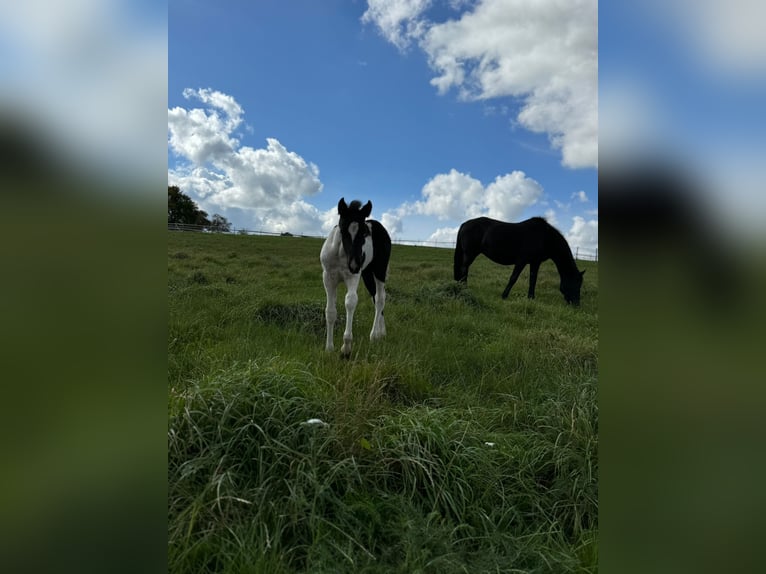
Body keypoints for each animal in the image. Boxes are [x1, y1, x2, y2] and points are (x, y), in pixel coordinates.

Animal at [320, 200, 392, 358]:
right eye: (342, 229)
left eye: (364, 232)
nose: (354, 264)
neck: (341, 254)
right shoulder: (328, 278)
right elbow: (330, 312)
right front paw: (329, 348)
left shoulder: (353, 277)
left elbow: (350, 302)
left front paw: (346, 348)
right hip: (366, 273)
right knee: (376, 296)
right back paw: (382, 332)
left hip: (379, 270)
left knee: (380, 299)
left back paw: (374, 335)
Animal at [456, 217, 588, 306]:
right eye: (576, 283)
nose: (576, 304)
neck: (544, 237)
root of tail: (464, 224)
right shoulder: (521, 261)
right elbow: (513, 278)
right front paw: (504, 296)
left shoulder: (535, 262)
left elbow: (533, 280)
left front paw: (531, 298)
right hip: (470, 254)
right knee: (464, 269)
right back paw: (464, 288)